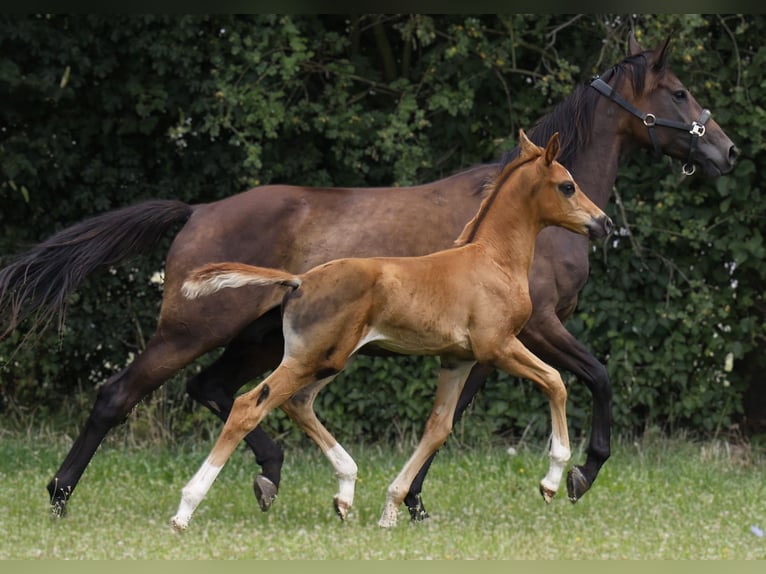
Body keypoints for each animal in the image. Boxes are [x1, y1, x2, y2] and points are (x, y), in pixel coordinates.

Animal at [171, 130, 616, 532]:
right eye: (568, 185)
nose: (604, 223)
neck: (493, 260)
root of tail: (300, 280)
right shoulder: (500, 347)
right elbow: (555, 381)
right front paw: (556, 480)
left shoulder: (457, 360)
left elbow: (438, 428)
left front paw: (391, 508)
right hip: (307, 358)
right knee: (249, 406)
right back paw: (185, 510)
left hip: (330, 361)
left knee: (297, 403)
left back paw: (345, 491)